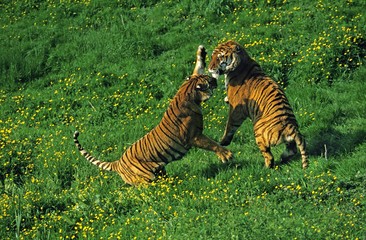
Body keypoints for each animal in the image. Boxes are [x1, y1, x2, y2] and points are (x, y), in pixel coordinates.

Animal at [73, 45, 233, 188]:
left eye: (207, 77)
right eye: (209, 81)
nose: (215, 80)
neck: (188, 93)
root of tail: (118, 163)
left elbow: (197, 66)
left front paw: (201, 52)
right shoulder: (194, 136)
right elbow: (211, 143)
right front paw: (227, 155)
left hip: (159, 170)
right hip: (146, 178)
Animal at [207, 40, 308, 169]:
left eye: (219, 57)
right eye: (212, 57)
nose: (210, 68)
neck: (242, 62)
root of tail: (291, 126)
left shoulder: (237, 109)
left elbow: (230, 124)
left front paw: (223, 141)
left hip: (258, 131)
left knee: (269, 156)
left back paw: (265, 168)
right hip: (288, 140)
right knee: (292, 150)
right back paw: (283, 158)